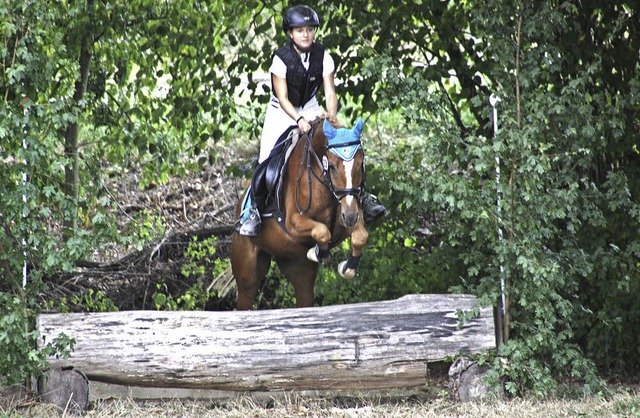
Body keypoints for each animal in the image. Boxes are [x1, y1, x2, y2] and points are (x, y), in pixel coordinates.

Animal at [230, 116, 370, 308]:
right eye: (332, 166)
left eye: (360, 165)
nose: (350, 217)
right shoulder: (293, 223)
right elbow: (322, 231)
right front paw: (319, 253)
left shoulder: (349, 217)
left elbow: (361, 236)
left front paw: (347, 268)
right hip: (247, 272)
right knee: (246, 293)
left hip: (298, 268)